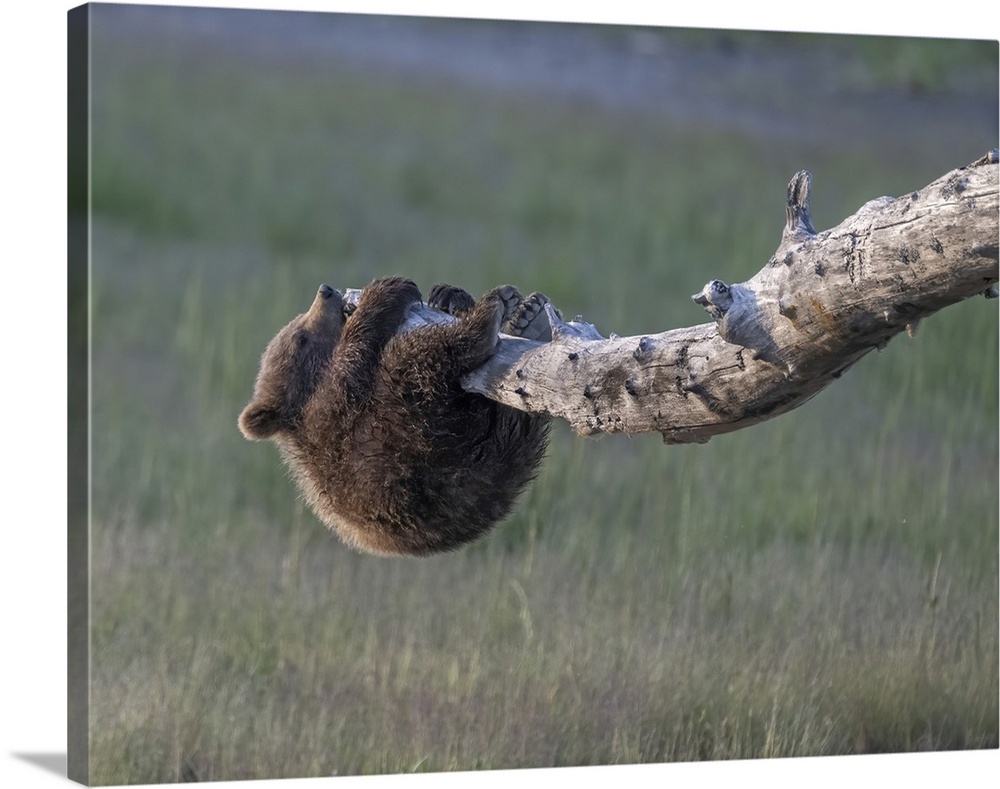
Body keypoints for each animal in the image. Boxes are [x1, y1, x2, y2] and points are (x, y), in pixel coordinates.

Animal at [238, 276, 552, 556]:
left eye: (297, 324)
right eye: (300, 337)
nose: (325, 291)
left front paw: (448, 294)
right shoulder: (331, 422)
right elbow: (351, 368)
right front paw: (386, 291)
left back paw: (524, 316)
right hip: (414, 437)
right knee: (416, 358)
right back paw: (489, 316)